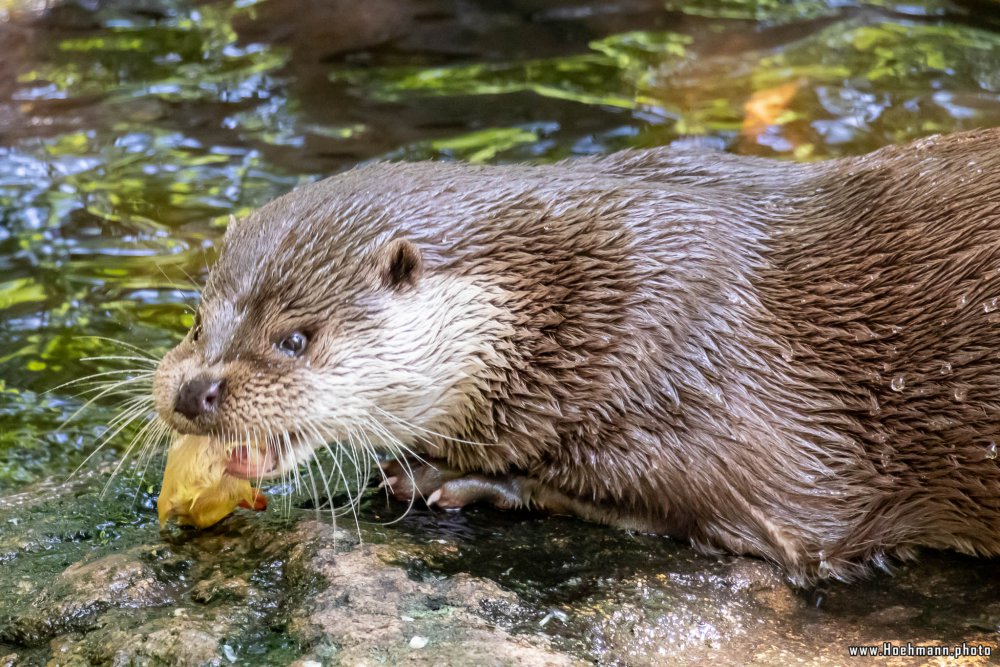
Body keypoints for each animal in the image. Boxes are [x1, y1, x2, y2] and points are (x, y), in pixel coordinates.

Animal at [152, 129, 1000, 584]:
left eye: (296, 337)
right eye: (195, 320)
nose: (195, 391)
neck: (585, 293)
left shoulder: (704, 375)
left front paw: (453, 476)